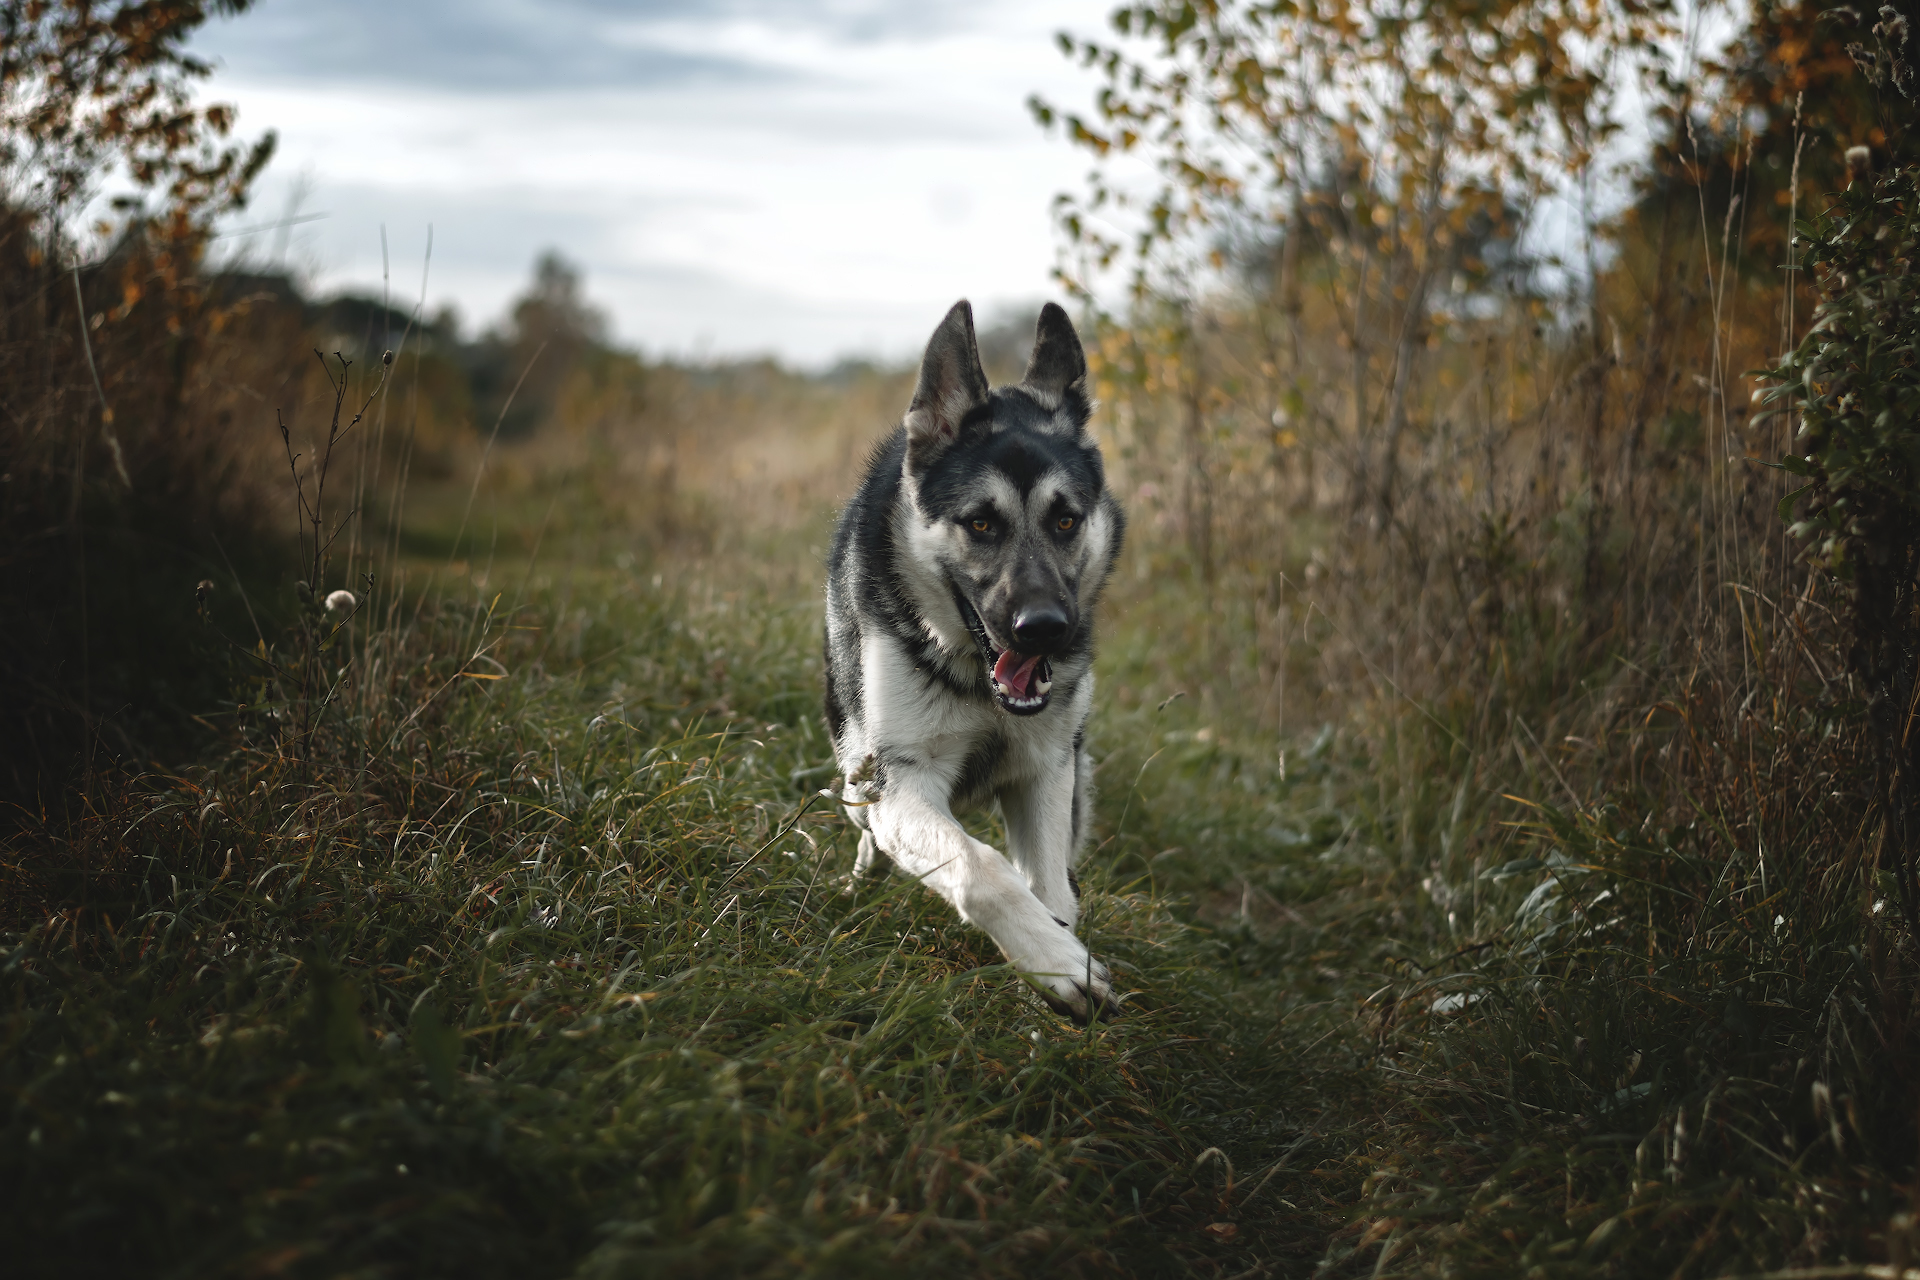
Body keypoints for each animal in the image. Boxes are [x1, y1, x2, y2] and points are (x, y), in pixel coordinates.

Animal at [825, 297, 1121, 1020]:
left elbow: (1052, 890)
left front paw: (1053, 957)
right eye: (982, 524)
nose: (1045, 630)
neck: (973, 678)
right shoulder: (903, 782)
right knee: (868, 828)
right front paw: (1059, 964)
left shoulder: (1046, 770)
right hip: (858, 776)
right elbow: (979, 866)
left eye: (1067, 520)